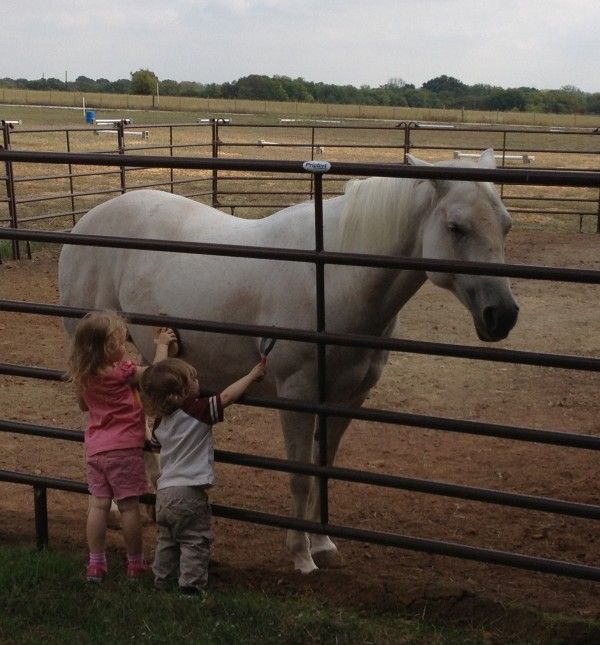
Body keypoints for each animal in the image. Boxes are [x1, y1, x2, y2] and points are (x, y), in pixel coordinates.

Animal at [58, 149, 519, 574]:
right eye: (456, 227)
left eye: (506, 225)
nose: (502, 314)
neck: (335, 277)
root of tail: (84, 223)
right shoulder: (298, 395)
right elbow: (299, 476)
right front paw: (300, 555)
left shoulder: (347, 398)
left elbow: (322, 469)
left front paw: (322, 543)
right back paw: (114, 510)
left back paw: (151, 498)